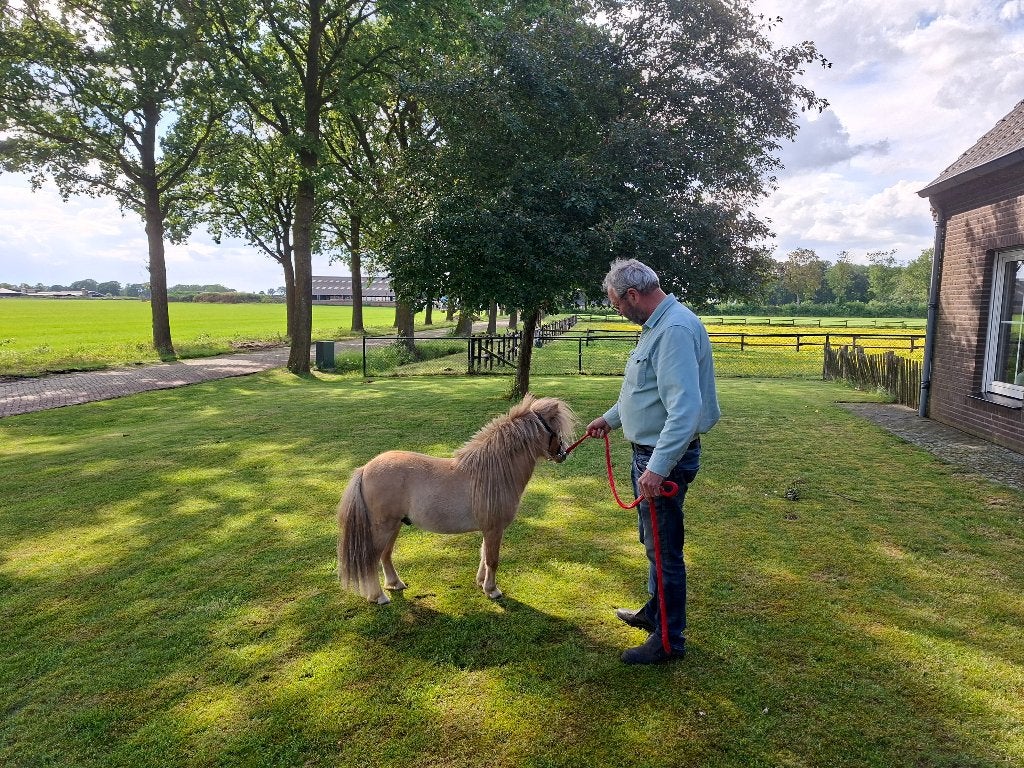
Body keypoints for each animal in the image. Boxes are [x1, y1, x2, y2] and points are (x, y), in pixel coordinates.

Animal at [337, 394, 576, 604]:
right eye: (554, 429)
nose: (563, 454)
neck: (494, 472)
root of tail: (365, 469)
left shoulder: (489, 529)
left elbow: (483, 555)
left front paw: (481, 583)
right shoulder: (494, 529)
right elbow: (492, 559)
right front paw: (492, 590)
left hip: (394, 526)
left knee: (385, 556)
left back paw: (395, 584)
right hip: (384, 527)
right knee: (370, 559)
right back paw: (379, 597)